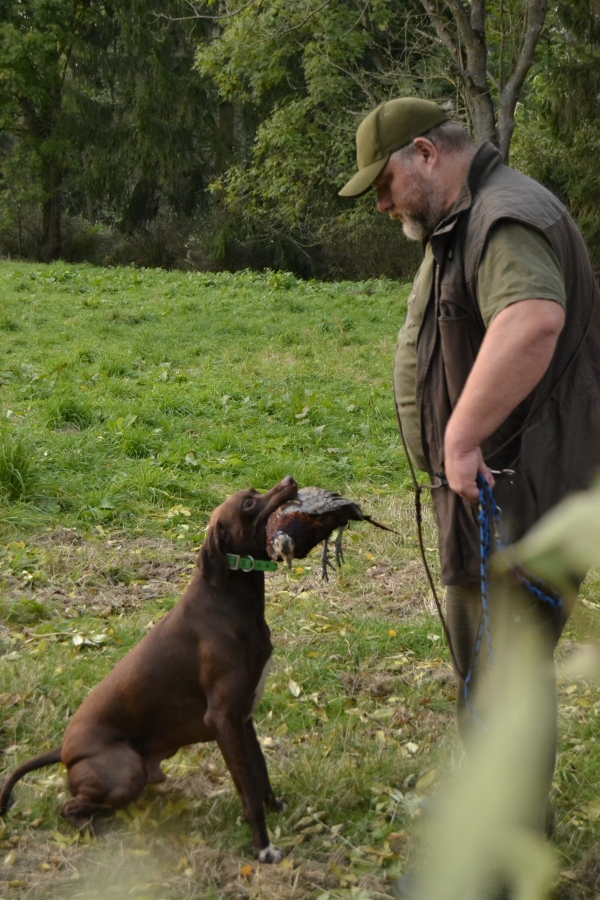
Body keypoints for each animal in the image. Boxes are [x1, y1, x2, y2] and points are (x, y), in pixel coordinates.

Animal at [0, 476, 298, 863]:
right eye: (248, 504)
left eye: (253, 492)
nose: (290, 481)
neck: (229, 602)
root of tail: (63, 751)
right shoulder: (224, 720)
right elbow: (247, 789)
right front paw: (263, 847)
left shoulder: (243, 717)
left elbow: (259, 773)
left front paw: (276, 809)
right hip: (127, 771)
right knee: (69, 807)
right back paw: (93, 831)